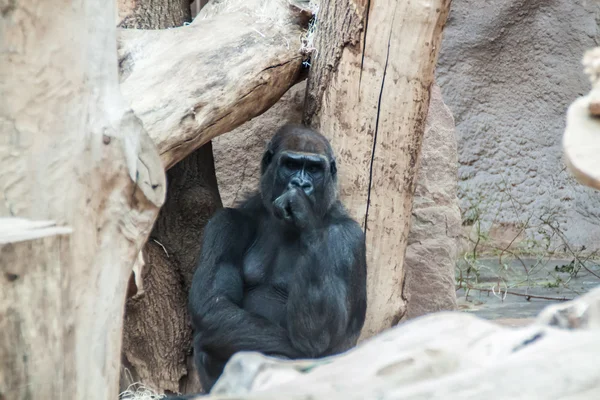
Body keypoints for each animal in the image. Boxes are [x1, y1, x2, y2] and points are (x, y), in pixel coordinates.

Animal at [185, 123, 368, 392]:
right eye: (291, 165)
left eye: (314, 169)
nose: (301, 184)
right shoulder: (226, 222)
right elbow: (213, 304)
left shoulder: (347, 237)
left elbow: (317, 336)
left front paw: (303, 211)